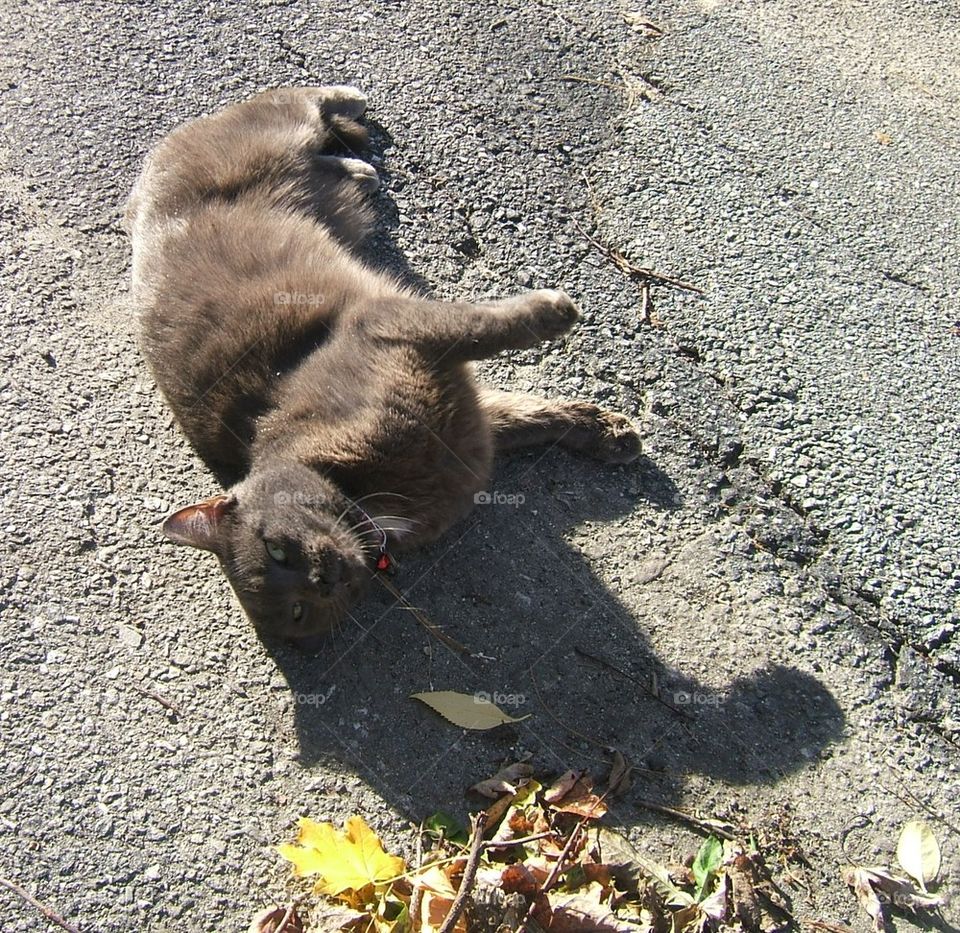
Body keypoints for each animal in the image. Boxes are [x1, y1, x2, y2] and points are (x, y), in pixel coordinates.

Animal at [125, 87, 636, 640]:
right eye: (299, 610)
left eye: (276, 547)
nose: (324, 577)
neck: (369, 499)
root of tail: (138, 196)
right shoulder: (469, 424)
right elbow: (528, 415)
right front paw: (609, 432)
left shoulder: (383, 325)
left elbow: (479, 327)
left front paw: (556, 313)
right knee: (324, 160)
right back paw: (358, 168)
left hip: (271, 136)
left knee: (295, 100)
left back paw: (349, 104)